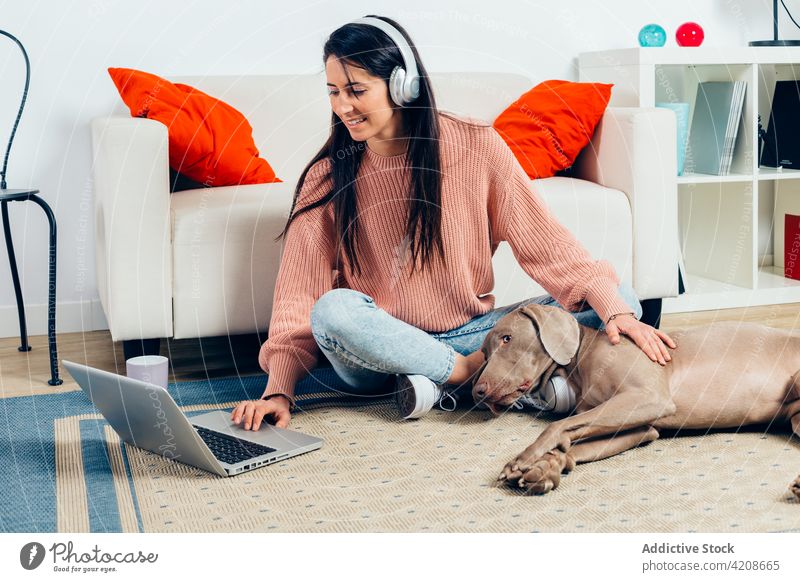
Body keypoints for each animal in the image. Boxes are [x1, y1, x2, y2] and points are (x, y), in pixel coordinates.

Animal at [468, 304, 800, 500]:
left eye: (507, 339)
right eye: (484, 353)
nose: (477, 392)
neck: (582, 359)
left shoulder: (649, 398)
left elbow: (559, 425)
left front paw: (522, 460)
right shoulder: (643, 427)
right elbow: (576, 443)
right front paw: (546, 468)